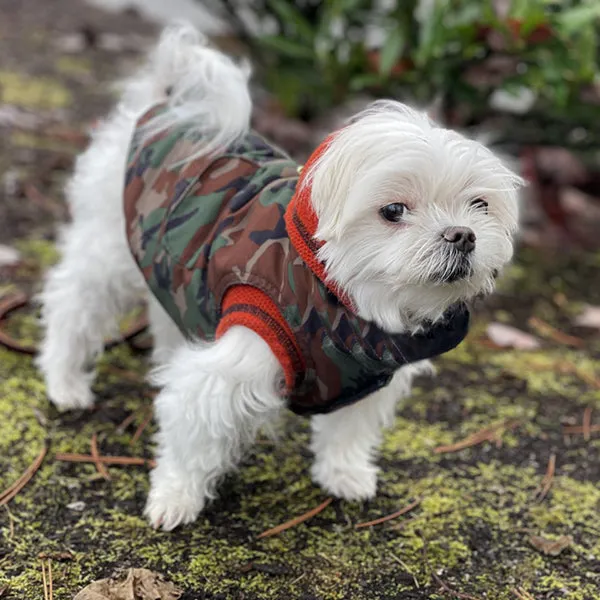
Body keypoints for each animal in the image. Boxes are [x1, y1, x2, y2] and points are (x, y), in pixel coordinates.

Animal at [39, 23, 524, 528]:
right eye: (393, 210)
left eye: (480, 205)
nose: (463, 235)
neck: (343, 299)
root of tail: (164, 103)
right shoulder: (242, 346)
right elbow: (192, 431)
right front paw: (174, 497)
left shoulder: (369, 380)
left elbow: (347, 432)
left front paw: (344, 474)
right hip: (108, 247)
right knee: (71, 301)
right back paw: (65, 381)